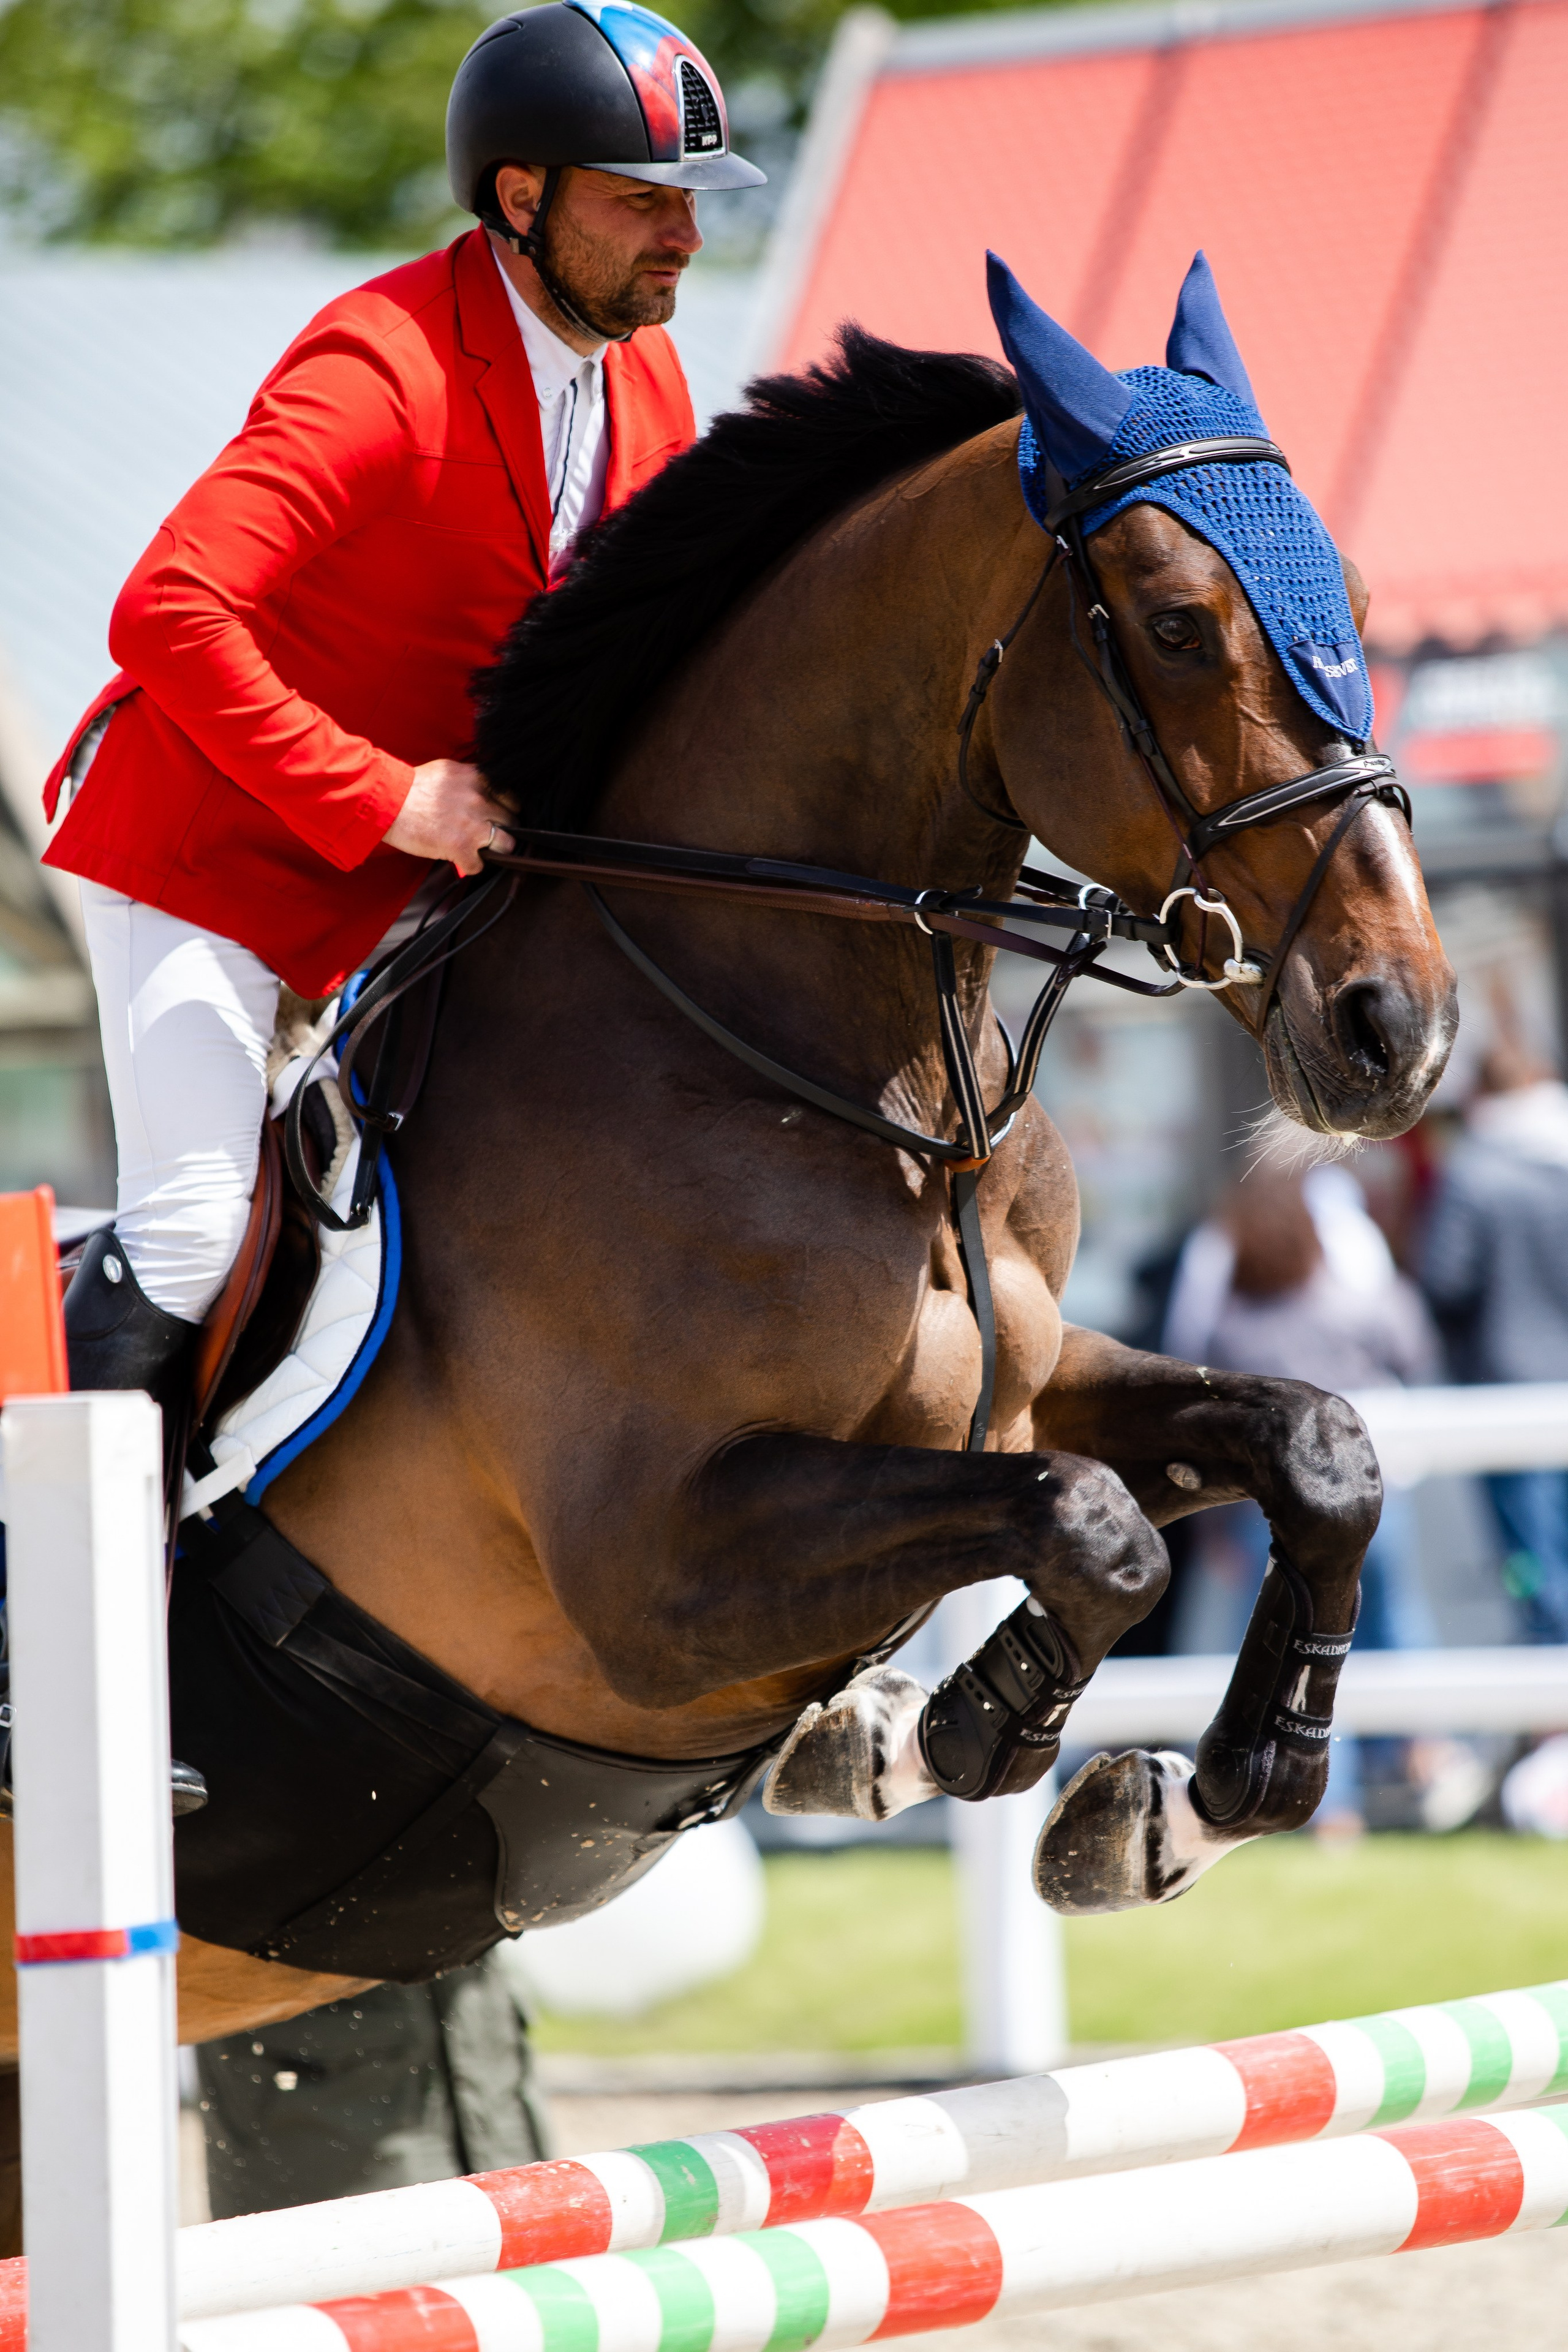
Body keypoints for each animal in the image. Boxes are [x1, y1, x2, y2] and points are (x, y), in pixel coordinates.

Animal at [0, 259, 1454, 2106]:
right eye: (1179, 626)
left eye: (1353, 595)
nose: (1396, 1026)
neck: (841, 1079)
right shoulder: (652, 1580)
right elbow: (1095, 1526)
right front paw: (954, 1731)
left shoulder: (1026, 1383)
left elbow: (1308, 1450)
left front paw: (1183, 1803)